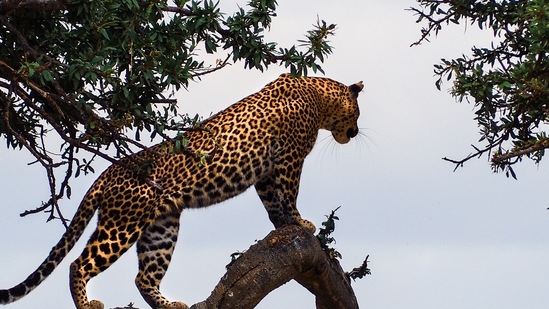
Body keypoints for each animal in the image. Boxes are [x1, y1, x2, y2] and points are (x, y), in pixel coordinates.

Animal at [0, 73, 364, 306]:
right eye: (358, 112)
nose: (356, 132)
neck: (318, 96)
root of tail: (109, 172)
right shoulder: (289, 159)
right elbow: (289, 194)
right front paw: (301, 222)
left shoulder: (266, 171)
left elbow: (273, 202)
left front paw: (284, 225)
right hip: (122, 224)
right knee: (79, 263)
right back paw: (88, 304)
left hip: (161, 227)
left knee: (143, 277)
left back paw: (168, 304)